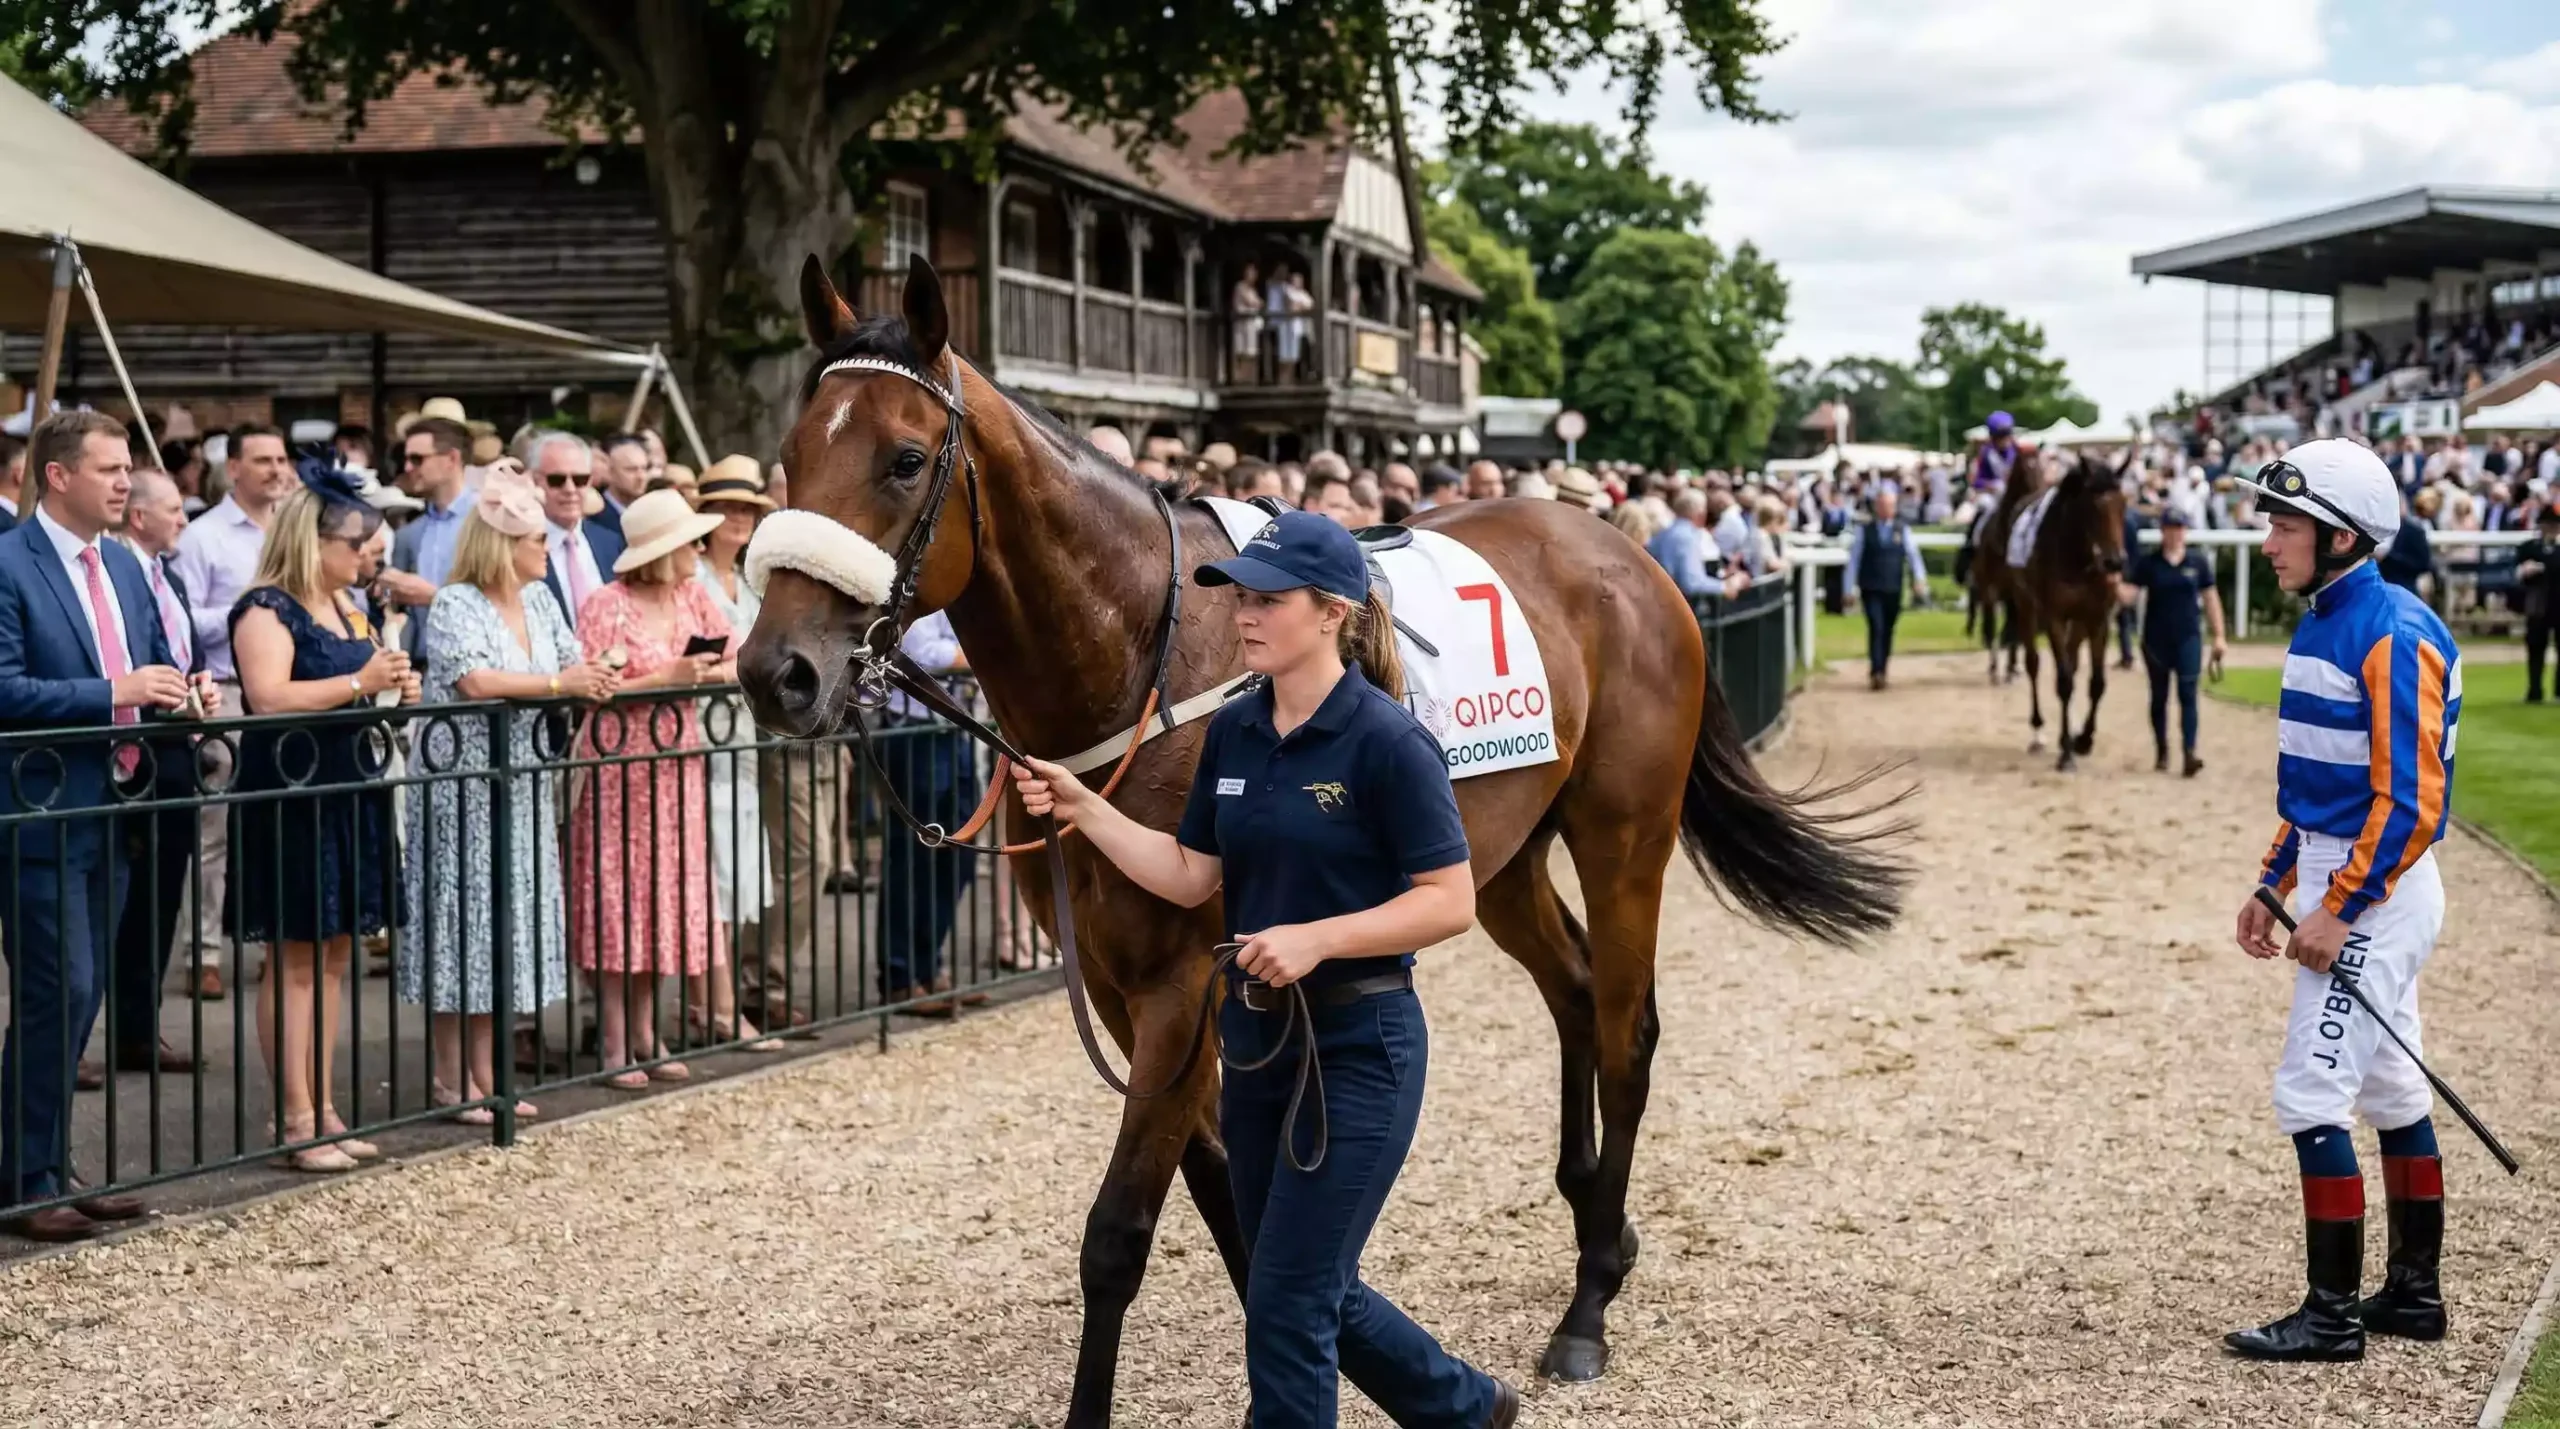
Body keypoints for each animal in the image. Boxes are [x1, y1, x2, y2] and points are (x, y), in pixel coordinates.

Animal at [737, 256, 1910, 1426]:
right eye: (790, 457)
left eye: (903, 459)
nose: (774, 671)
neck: (1144, 654)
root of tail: (1627, 553)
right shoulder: (1123, 987)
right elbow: (1230, 1199)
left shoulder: (1182, 985)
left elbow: (1121, 1235)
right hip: (1495, 859)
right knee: (1575, 992)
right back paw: (1599, 1224)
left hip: (1623, 832)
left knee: (1627, 1030)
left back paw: (1587, 1309)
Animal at [2009, 452, 2129, 772]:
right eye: (2094, 507)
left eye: (2123, 504)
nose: (2115, 562)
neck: (2078, 556)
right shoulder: (2054, 617)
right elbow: (2063, 681)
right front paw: (2066, 755)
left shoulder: (2098, 618)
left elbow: (2097, 683)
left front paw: (2083, 739)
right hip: (2025, 606)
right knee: (2033, 663)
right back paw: (2038, 733)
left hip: (2079, 622)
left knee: (2074, 664)